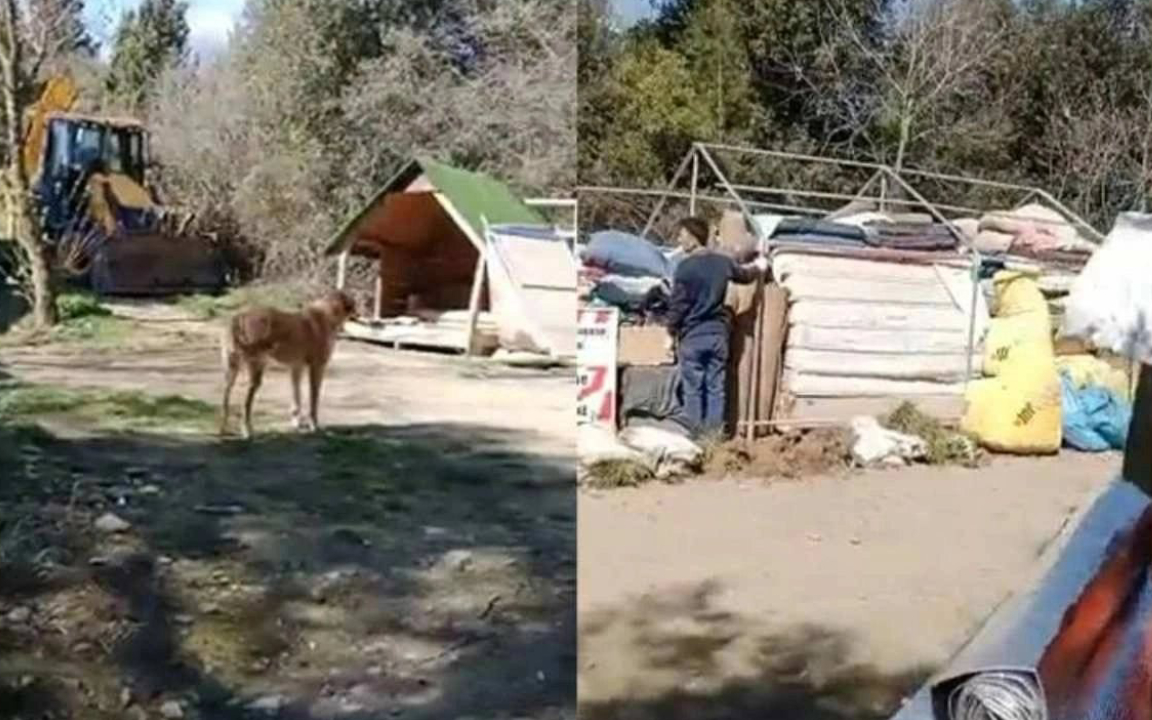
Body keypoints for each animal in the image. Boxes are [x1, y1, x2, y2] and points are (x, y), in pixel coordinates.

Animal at [218, 288, 354, 435]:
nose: (358, 311)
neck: (327, 312)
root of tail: (239, 316)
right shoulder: (317, 367)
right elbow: (314, 399)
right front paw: (314, 425)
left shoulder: (296, 368)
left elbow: (296, 398)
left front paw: (296, 423)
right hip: (256, 370)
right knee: (245, 403)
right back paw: (246, 430)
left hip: (231, 371)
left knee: (226, 396)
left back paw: (223, 429)